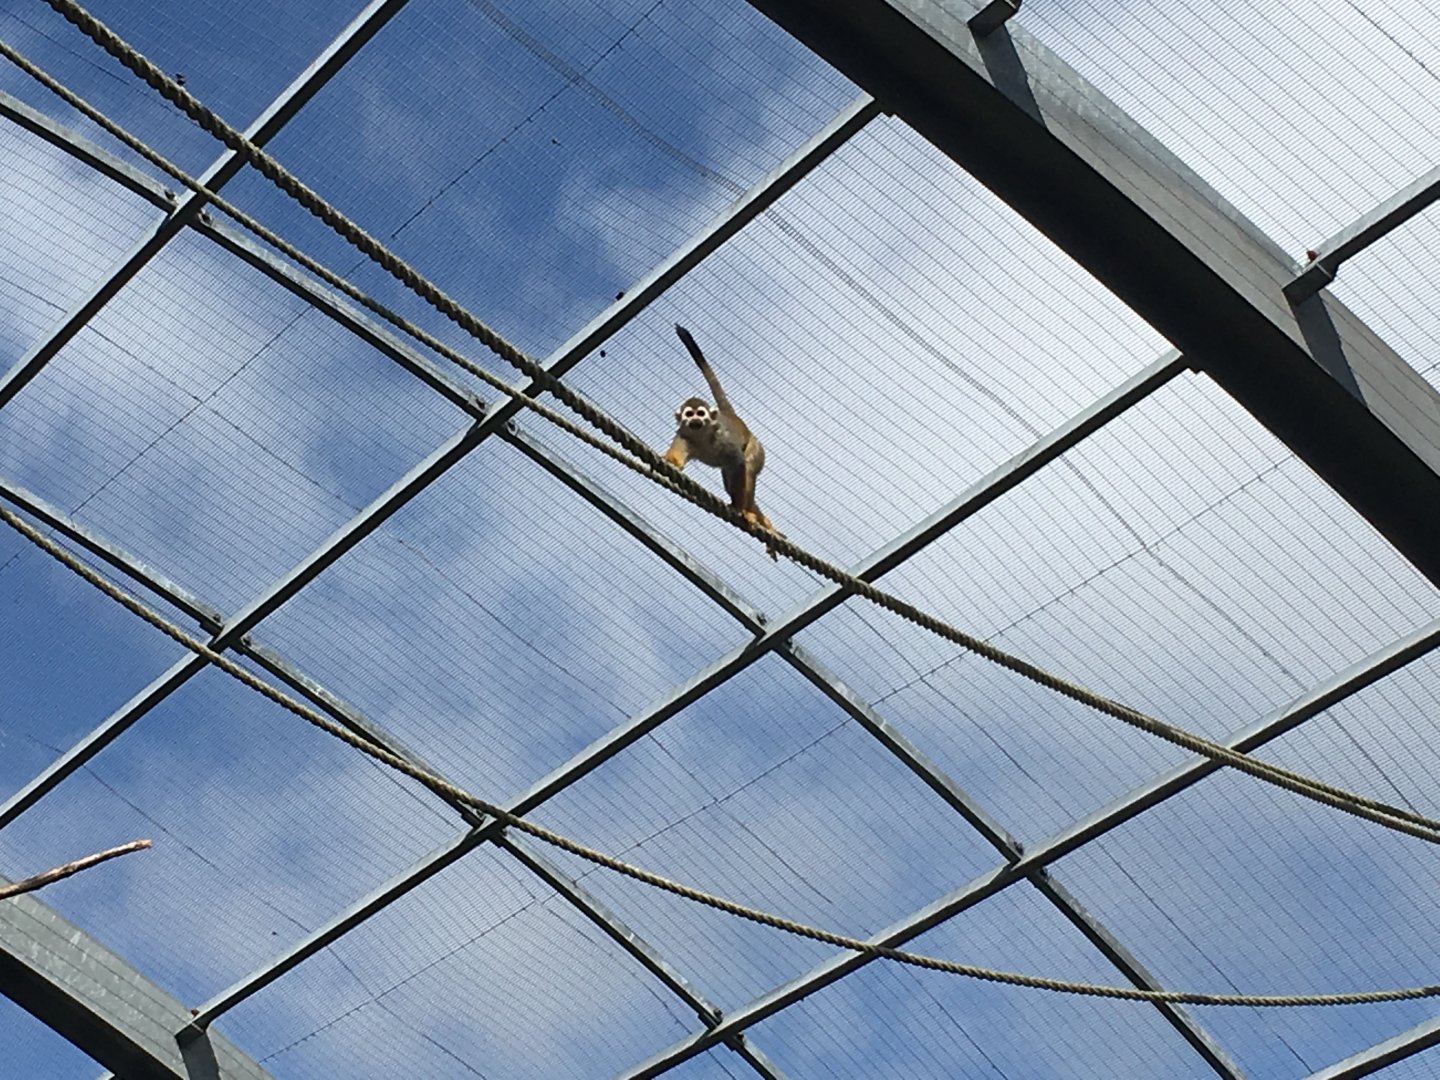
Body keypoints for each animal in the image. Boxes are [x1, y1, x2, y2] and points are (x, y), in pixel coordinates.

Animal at [664, 325, 781, 559]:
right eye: (689, 415)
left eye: (700, 413)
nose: (696, 420)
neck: (702, 435)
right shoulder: (684, 434)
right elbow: (677, 459)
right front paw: (670, 462)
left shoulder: (723, 440)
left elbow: (738, 462)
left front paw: (738, 508)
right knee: (731, 481)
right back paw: (763, 521)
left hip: (756, 447)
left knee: (747, 468)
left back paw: (752, 515)